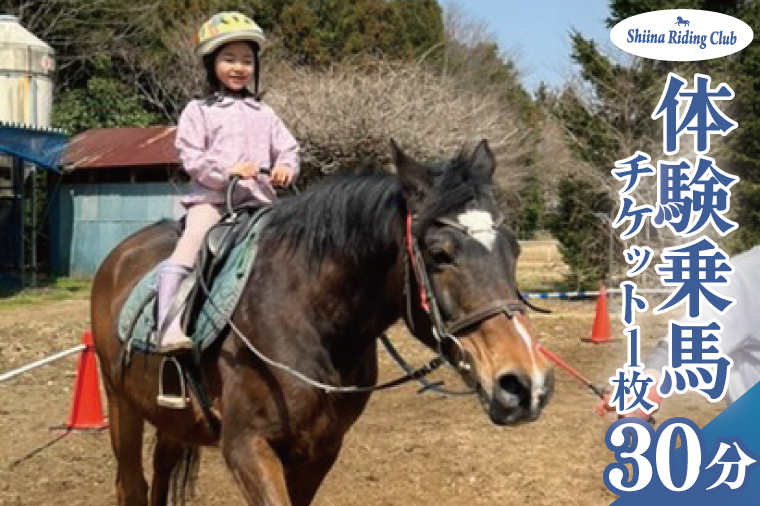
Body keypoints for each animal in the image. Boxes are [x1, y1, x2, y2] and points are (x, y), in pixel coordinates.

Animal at [91, 138, 555, 506]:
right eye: (440, 254)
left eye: (513, 249)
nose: (527, 384)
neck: (309, 319)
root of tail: (119, 257)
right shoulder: (246, 446)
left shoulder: (320, 450)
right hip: (120, 404)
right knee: (131, 486)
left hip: (171, 416)